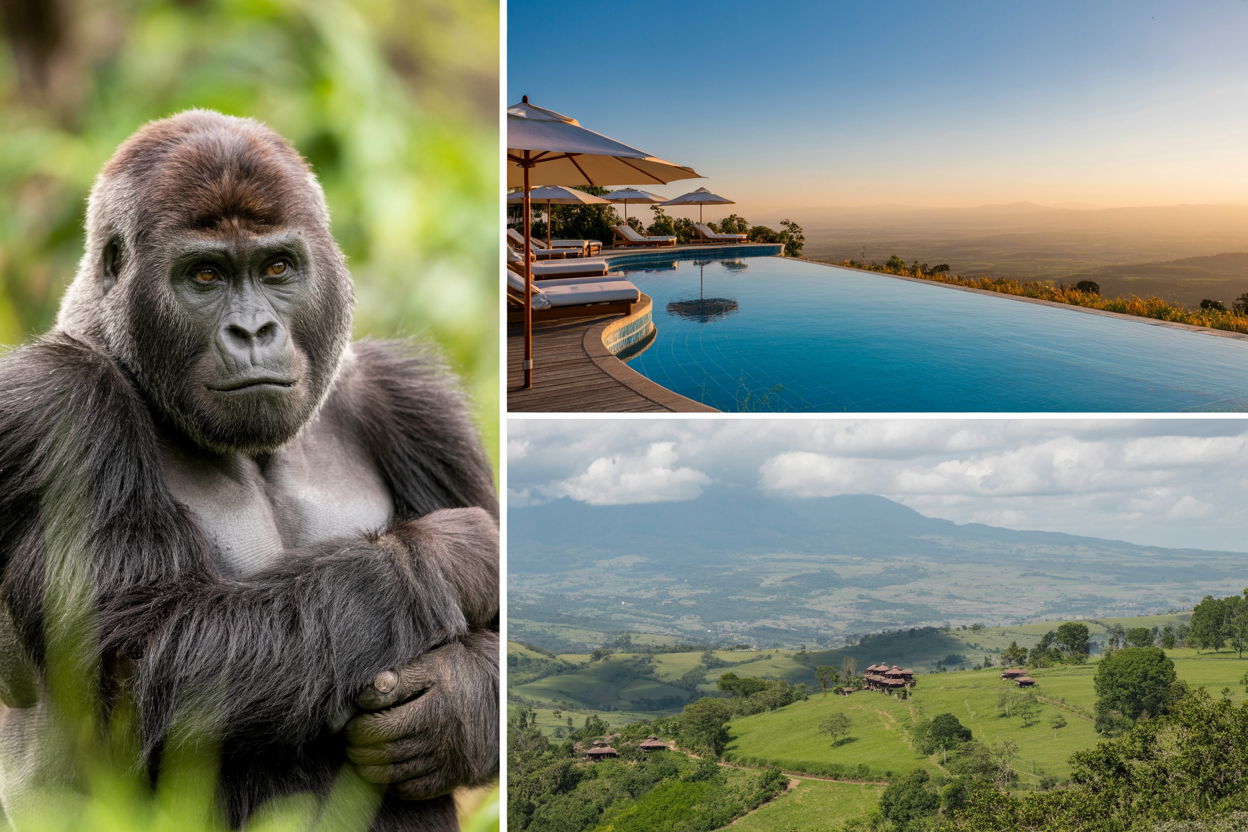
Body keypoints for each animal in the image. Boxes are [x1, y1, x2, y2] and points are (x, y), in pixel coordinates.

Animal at [0, 110, 498, 831]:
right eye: (204, 276)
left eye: (277, 267)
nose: (254, 331)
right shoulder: (54, 408)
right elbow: (141, 663)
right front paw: (446, 558)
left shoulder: (417, 403)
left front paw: (454, 709)